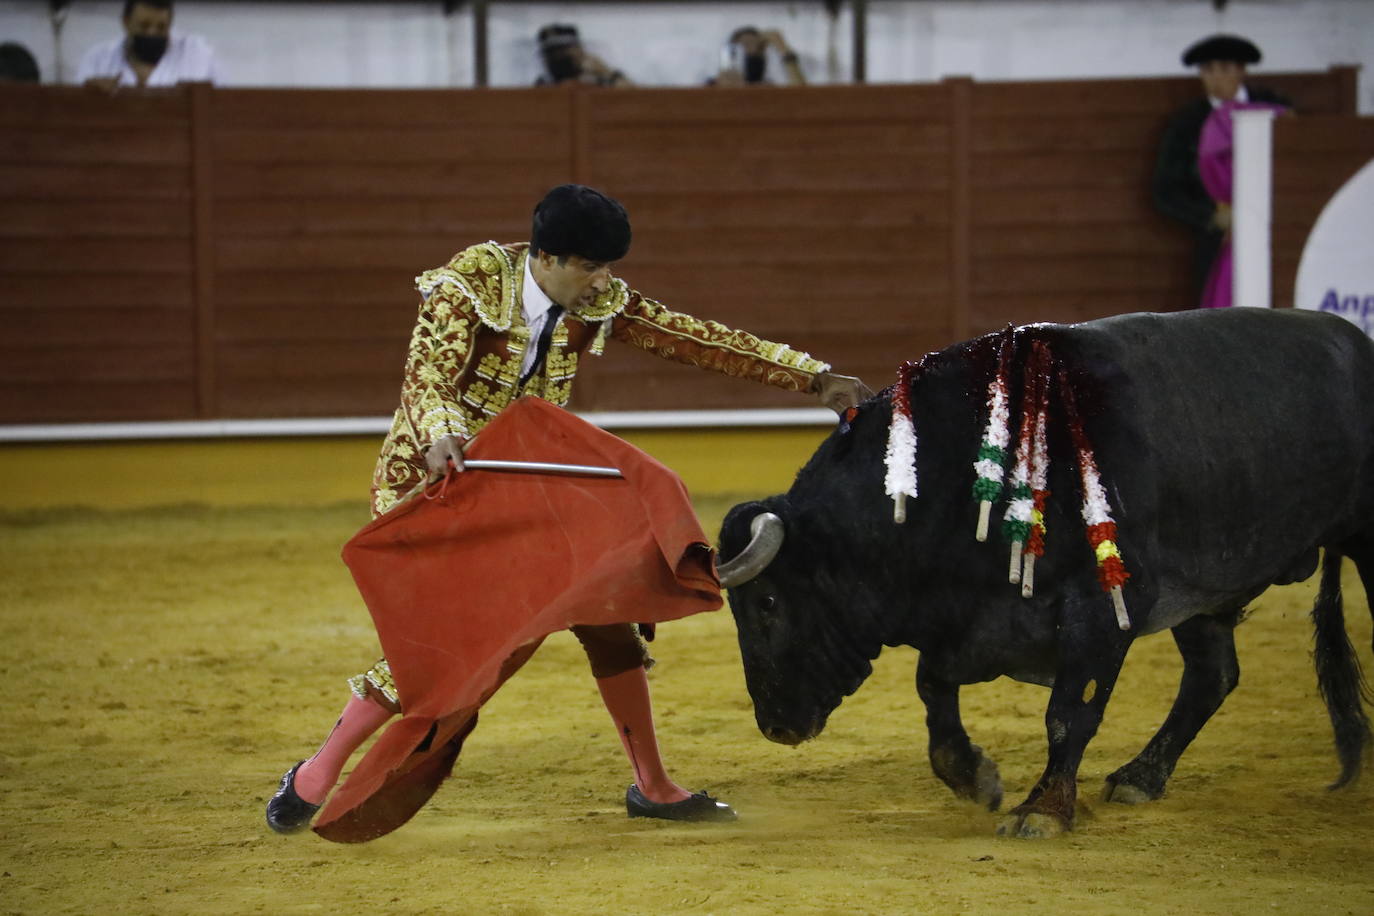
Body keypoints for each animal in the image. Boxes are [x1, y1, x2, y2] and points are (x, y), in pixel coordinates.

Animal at [719, 307, 1374, 840]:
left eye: (768, 604)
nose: (774, 725)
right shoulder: (965, 622)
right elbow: (932, 688)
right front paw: (976, 779)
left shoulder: (1105, 608)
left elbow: (1069, 713)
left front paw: (1043, 810)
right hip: (1205, 594)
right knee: (1212, 677)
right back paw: (1141, 776)